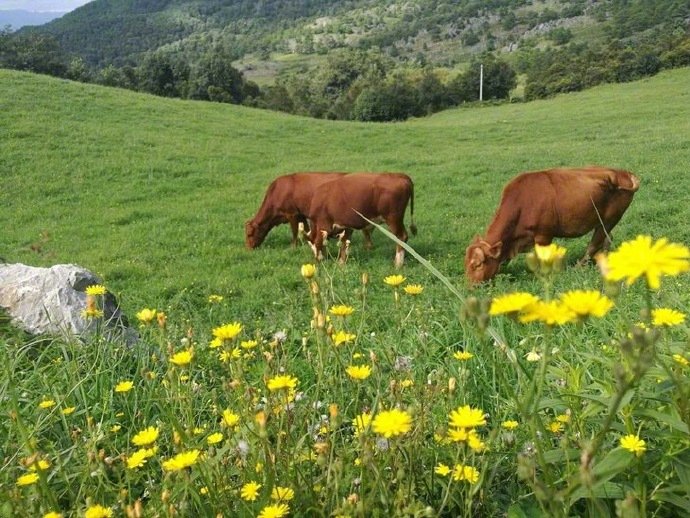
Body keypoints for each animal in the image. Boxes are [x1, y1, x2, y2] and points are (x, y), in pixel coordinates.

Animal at [246, 173, 376, 250]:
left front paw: (293, 246)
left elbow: (294, 231)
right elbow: (306, 229)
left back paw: (368, 247)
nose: (248, 249)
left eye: (249, 234)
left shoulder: (292, 214)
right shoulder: (301, 214)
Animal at [464, 168, 636, 284]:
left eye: (477, 264)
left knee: (594, 243)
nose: (471, 287)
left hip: (609, 219)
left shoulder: (543, 235)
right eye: (466, 263)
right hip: (605, 223)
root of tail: (621, 172)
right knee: (606, 239)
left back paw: (578, 267)